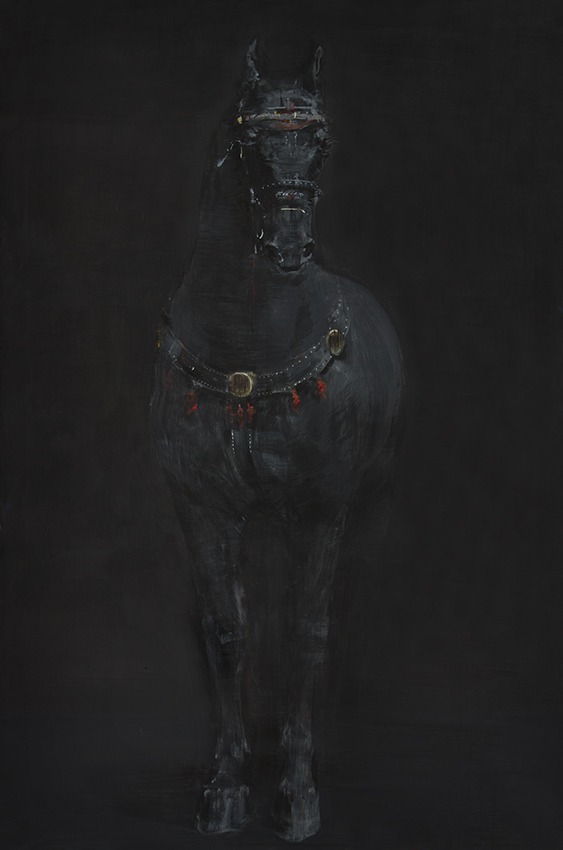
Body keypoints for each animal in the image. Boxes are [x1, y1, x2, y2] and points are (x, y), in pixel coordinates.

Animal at [150, 41, 403, 842]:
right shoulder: (203, 509)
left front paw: (295, 792)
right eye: (251, 141)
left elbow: (304, 637)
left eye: (319, 141)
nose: (289, 245)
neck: (246, 345)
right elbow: (228, 632)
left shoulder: (319, 512)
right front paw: (226, 788)